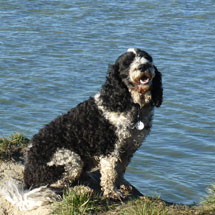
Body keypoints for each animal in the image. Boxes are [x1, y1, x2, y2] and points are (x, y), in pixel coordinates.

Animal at [0, 47, 162, 209]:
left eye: (147, 58)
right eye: (127, 63)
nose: (144, 66)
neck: (133, 105)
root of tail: (28, 177)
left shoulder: (129, 148)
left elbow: (121, 170)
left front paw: (122, 184)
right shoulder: (110, 148)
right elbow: (110, 173)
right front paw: (112, 192)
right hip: (70, 158)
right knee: (57, 184)